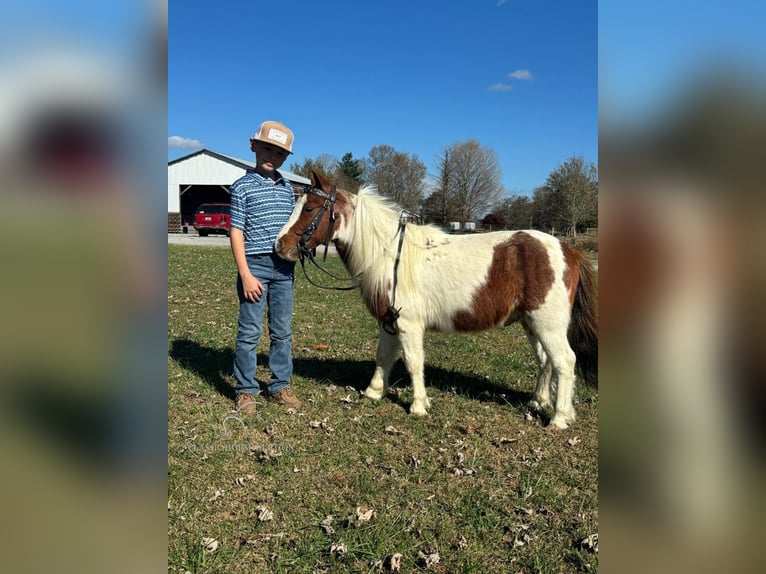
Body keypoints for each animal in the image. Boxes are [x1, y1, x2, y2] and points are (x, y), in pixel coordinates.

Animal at [276, 169, 600, 430]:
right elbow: (384, 357)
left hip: (548, 324)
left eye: (310, 208)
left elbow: (413, 362)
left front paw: (418, 405)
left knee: (564, 362)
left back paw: (559, 418)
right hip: (532, 324)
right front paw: (373, 393)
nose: (280, 245)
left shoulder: (408, 324)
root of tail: (568, 250)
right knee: (546, 361)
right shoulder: (388, 321)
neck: (389, 255)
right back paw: (538, 402)